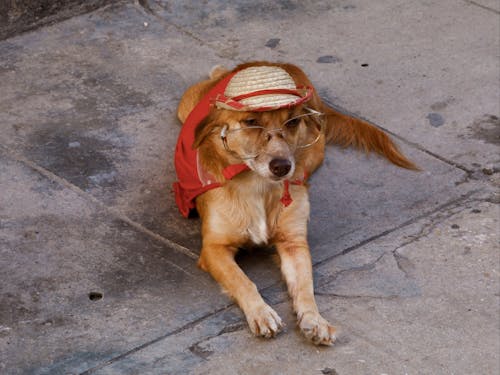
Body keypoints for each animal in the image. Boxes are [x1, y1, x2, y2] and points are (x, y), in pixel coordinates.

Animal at [174, 61, 416, 346]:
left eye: (293, 121)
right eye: (251, 122)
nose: (282, 167)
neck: (259, 186)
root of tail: (271, 63)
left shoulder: (293, 242)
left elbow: (305, 287)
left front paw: (315, 319)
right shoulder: (214, 249)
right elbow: (242, 280)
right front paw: (261, 313)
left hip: (316, 151)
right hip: (185, 106)